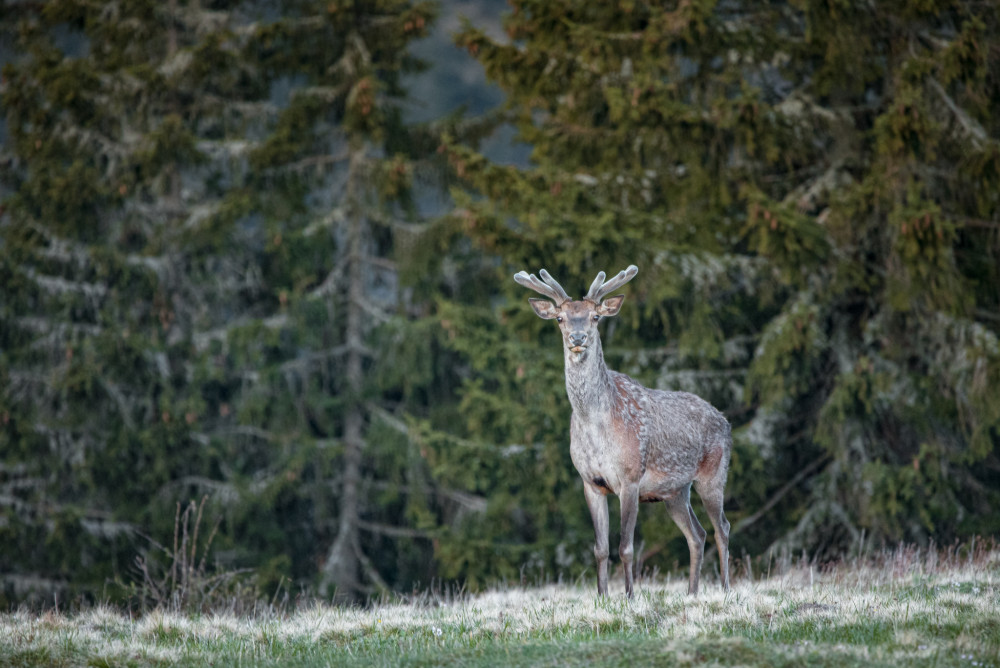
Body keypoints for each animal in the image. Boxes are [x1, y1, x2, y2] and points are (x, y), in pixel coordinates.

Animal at [512, 264, 732, 596]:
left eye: (595, 316)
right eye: (561, 318)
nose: (578, 337)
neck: (596, 427)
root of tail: (726, 422)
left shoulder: (630, 478)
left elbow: (625, 546)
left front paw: (629, 596)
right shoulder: (590, 482)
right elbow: (600, 548)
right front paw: (602, 597)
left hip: (713, 475)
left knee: (722, 529)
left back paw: (726, 589)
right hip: (675, 491)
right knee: (697, 534)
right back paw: (691, 593)